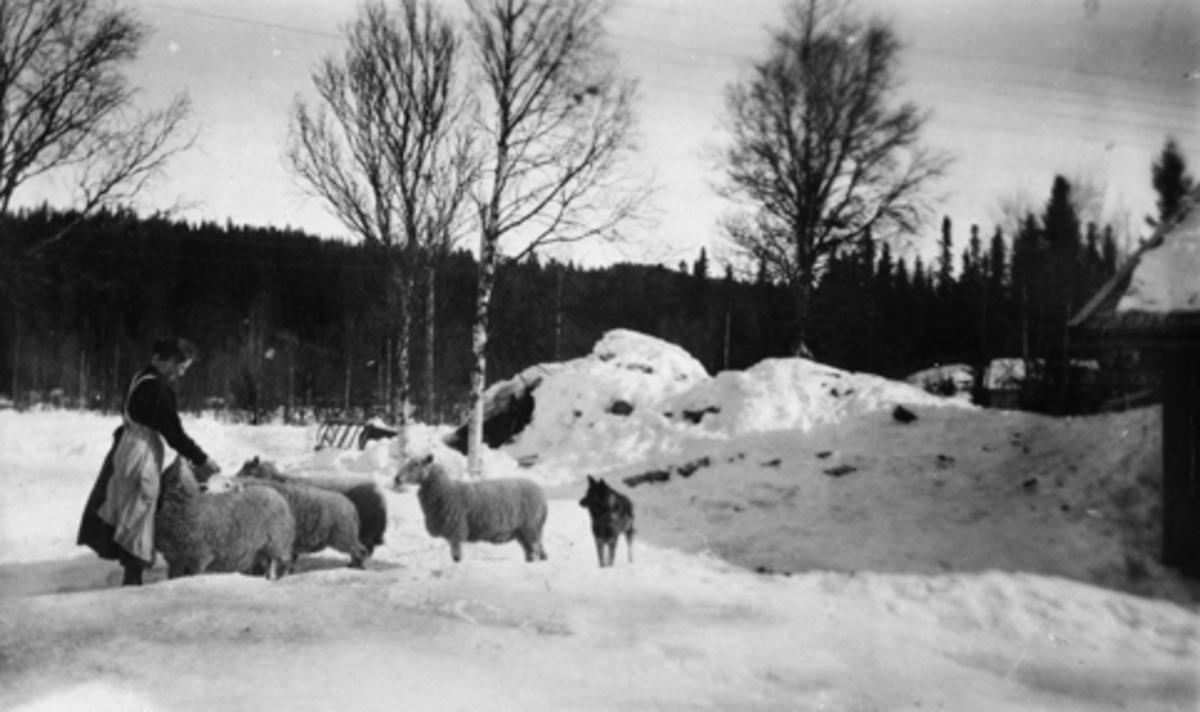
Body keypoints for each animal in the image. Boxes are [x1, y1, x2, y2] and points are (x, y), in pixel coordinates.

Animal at [153, 458, 296, 581]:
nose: (180, 458)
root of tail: (274, 493)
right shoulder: (174, 558)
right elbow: (173, 576)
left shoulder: (200, 556)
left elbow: (193, 574)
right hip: (263, 549)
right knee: (267, 564)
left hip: (276, 544)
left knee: (277, 563)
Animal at [393, 451, 549, 564]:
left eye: (416, 464)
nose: (397, 478)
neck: (446, 490)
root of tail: (541, 494)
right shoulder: (452, 533)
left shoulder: (456, 530)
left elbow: (456, 556)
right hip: (523, 530)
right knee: (532, 549)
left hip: (530, 526)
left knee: (535, 548)